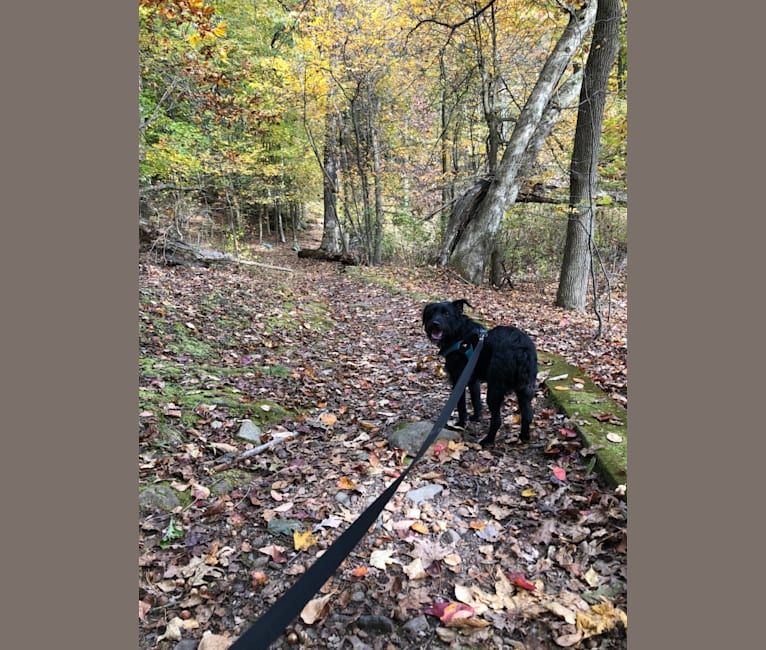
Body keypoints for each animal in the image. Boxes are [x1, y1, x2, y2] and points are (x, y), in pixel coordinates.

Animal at [426, 298, 540, 446]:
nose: (435, 324)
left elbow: (461, 406)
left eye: (446, 314)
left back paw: (487, 440)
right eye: (432, 313)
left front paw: (461, 424)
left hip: (495, 390)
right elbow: (476, 400)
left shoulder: (459, 379)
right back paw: (523, 437)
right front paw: (476, 417)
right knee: (527, 416)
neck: (460, 333)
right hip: (524, 390)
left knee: (497, 421)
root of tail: (522, 350)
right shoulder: (472, 379)